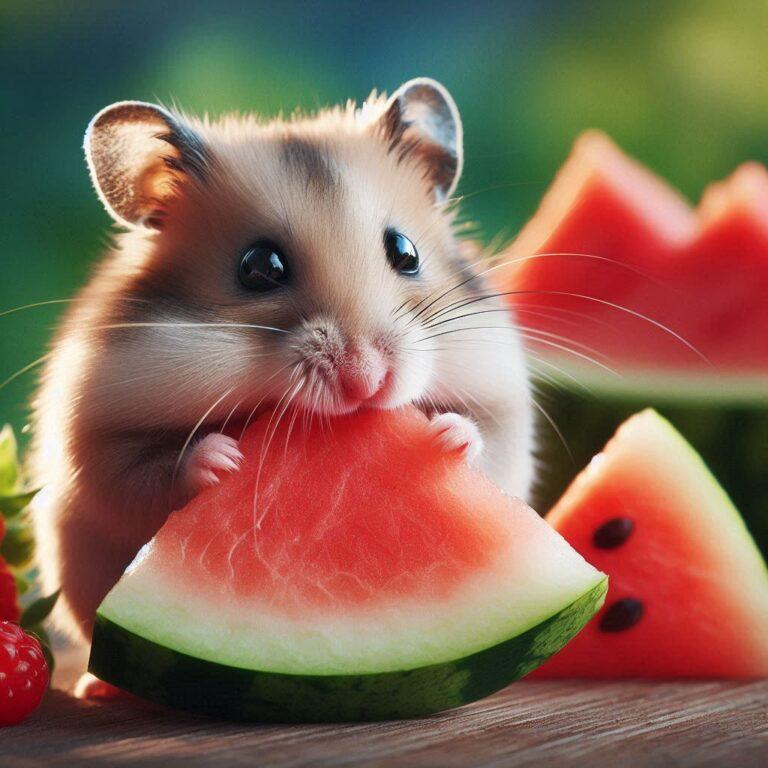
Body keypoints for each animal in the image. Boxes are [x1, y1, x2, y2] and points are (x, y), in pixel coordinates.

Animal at [31, 78, 536, 640]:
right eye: (259, 267)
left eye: (406, 252)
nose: (366, 382)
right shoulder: (94, 441)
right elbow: (139, 476)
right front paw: (223, 460)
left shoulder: (506, 403)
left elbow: (492, 443)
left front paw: (446, 435)